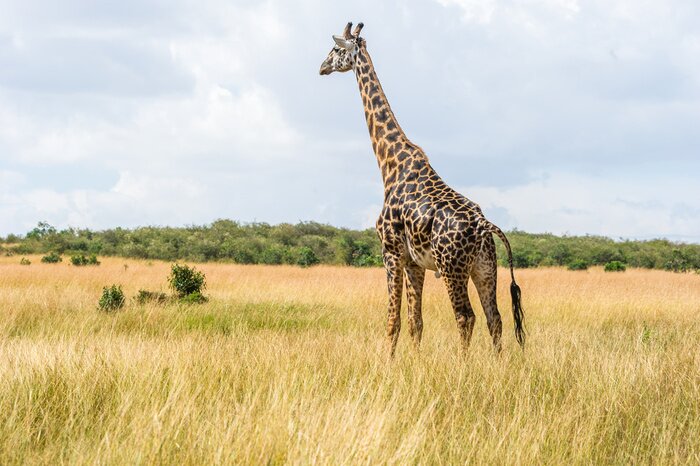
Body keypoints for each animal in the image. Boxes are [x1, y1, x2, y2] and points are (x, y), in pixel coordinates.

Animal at [320, 22, 525, 355]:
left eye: (337, 49)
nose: (322, 67)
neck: (390, 164)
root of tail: (484, 226)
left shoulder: (391, 253)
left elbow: (393, 321)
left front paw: (387, 363)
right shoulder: (415, 262)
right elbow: (415, 322)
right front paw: (415, 362)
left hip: (453, 267)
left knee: (465, 317)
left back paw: (464, 365)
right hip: (484, 267)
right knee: (494, 317)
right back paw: (499, 364)